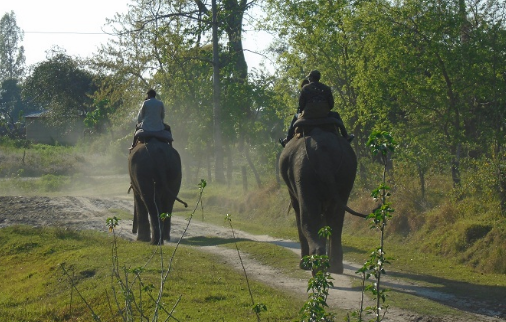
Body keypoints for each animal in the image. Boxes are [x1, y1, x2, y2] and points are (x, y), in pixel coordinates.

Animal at [278, 124, 358, 272]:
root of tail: (321, 152)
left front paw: (303, 265)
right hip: (346, 172)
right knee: (336, 219)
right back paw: (335, 267)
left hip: (304, 173)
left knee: (308, 219)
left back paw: (315, 265)